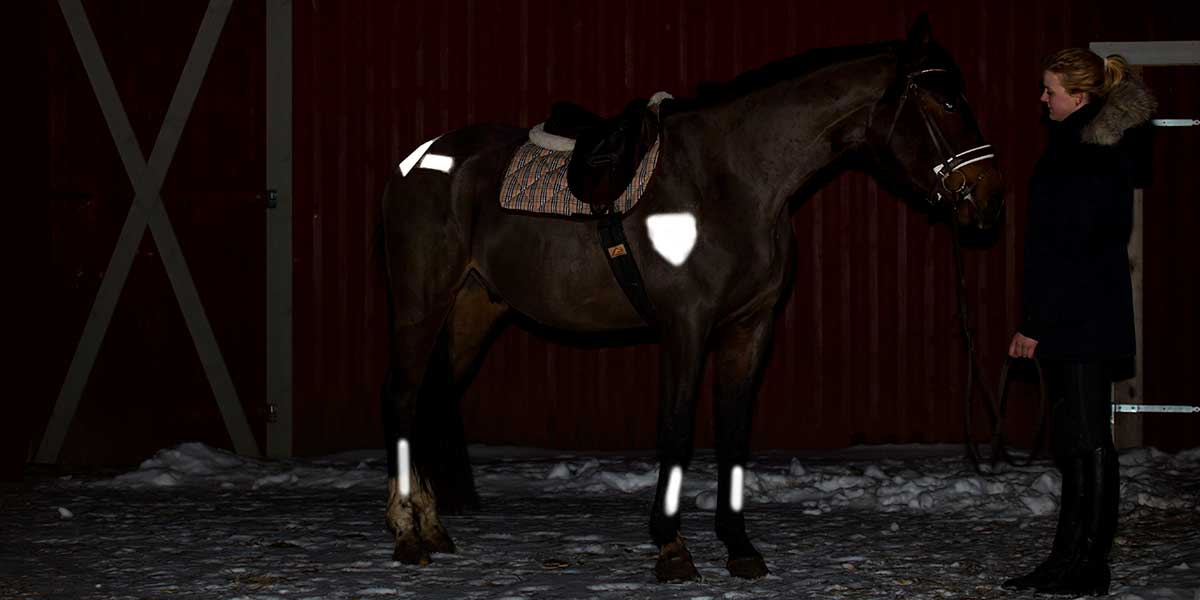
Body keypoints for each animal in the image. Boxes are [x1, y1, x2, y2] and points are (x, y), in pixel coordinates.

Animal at [378, 14, 1004, 582]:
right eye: (947, 101)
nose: (989, 203)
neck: (730, 179)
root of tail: (418, 161)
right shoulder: (686, 325)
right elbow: (676, 429)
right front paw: (672, 548)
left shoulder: (749, 328)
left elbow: (733, 432)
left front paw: (740, 547)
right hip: (421, 307)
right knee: (403, 401)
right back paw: (407, 535)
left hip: (471, 313)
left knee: (428, 399)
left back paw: (432, 527)